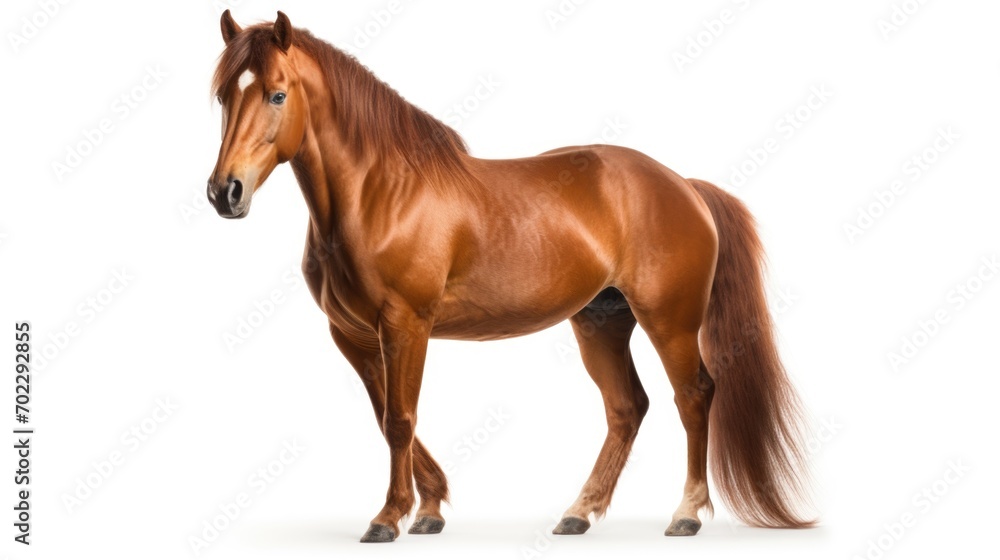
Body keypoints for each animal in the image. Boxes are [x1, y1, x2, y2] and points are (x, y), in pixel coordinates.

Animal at [206, 10, 814, 543]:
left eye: (277, 94)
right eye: (224, 96)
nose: (224, 193)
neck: (379, 193)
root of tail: (683, 185)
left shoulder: (406, 325)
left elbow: (401, 419)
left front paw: (389, 517)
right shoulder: (352, 334)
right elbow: (387, 418)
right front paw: (429, 508)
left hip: (670, 321)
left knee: (693, 396)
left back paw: (685, 513)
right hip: (601, 322)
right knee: (626, 408)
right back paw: (578, 513)